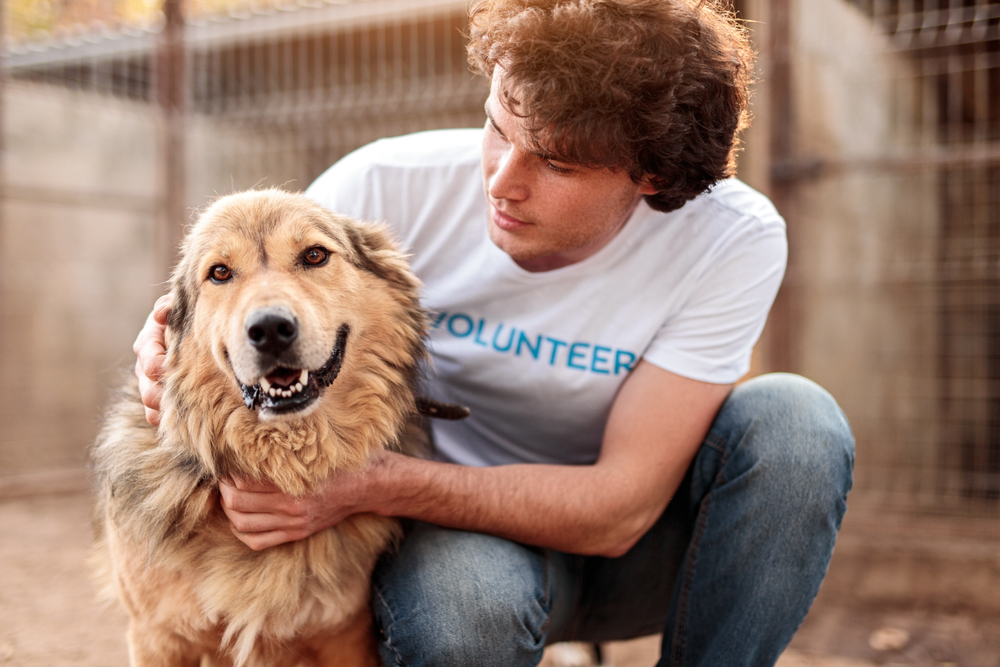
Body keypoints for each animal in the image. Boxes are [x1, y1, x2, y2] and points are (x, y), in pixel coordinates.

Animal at [92, 189, 458, 667]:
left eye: (315, 255)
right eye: (220, 272)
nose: (269, 329)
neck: (282, 458)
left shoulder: (348, 635)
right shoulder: (157, 636)